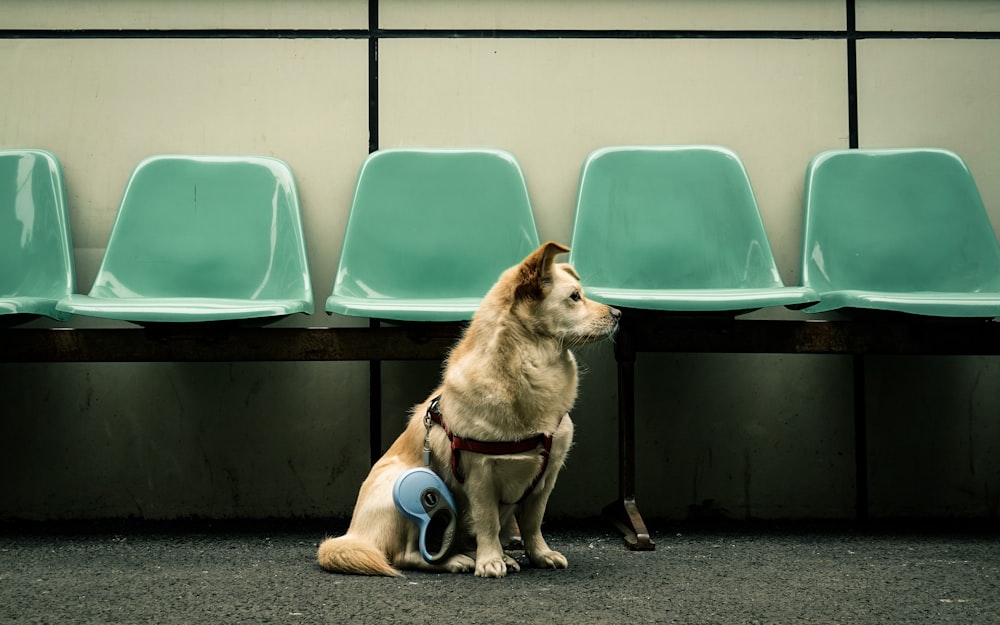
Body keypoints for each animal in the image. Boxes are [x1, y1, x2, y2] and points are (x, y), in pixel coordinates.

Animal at [318, 240, 616, 576]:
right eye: (575, 297)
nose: (618, 313)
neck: (530, 373)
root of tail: (353, 534)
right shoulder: (480, 474)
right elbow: (487, 521)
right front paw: (490, 560)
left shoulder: (547, 477)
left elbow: (533, 523)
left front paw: (539, 554)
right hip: (410, 488)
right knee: (407, 555)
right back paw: (459, 560)